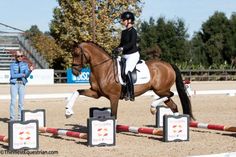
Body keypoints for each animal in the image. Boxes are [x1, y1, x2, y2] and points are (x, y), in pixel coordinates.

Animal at [65, 41, 195, 120]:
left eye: (77, 54)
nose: (74, 72)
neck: (103, 68)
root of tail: (168, 64)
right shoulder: (96, 93)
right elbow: (77, 91)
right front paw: (68, 111)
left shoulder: (113, 97)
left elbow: (113, 115)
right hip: (160, 91)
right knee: (173, 105)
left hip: (161, 89)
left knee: (171, 94)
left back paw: (153, 107)